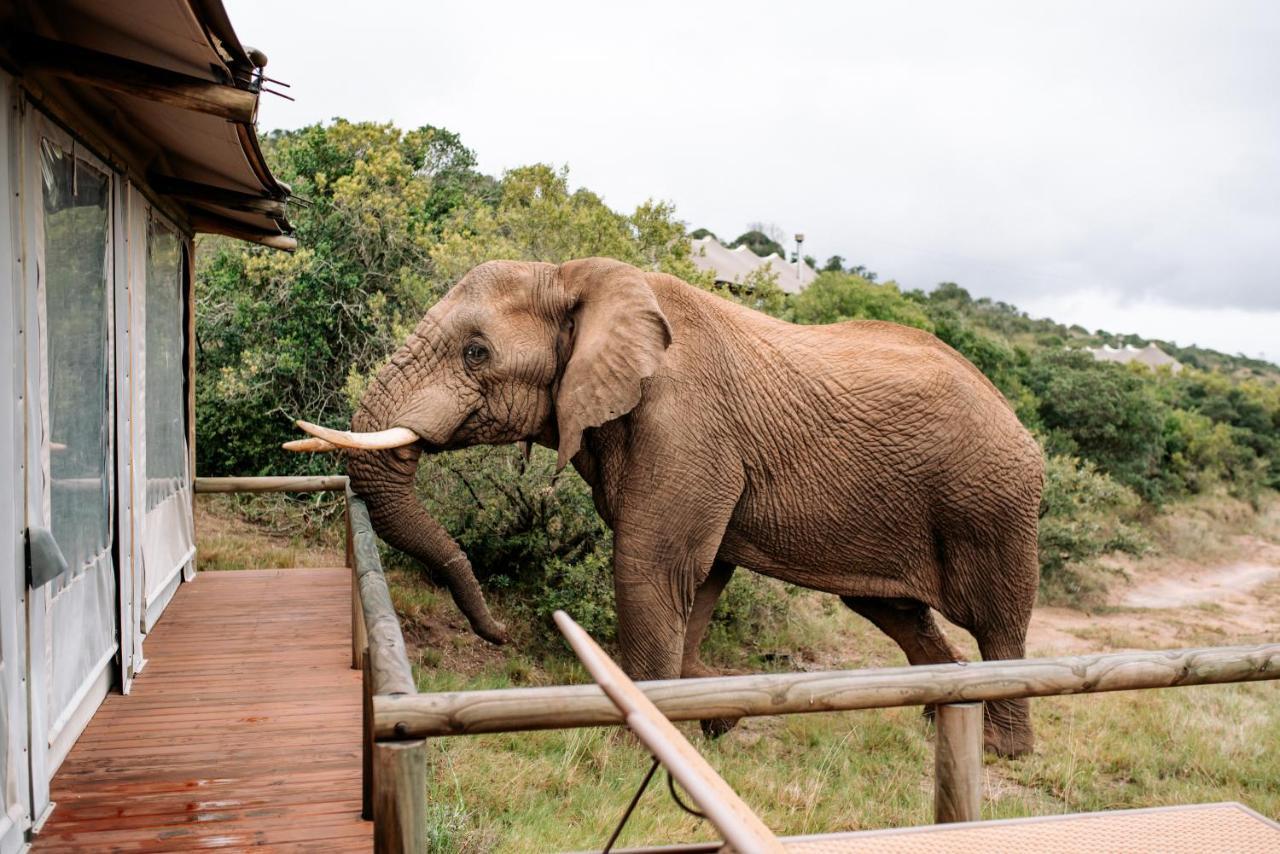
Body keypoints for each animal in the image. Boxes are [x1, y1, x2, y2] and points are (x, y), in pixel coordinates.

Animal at [288, 253, 1039, 752]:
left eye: (476, 352)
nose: (496, 632)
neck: (575, 276)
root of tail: (1017, 416)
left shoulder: (686, 426)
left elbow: (650, 566)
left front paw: (644, 747)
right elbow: (697, 582)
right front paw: (711, 715)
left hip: (991, 502)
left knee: (998, 620)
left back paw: (1001, 750)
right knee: (894, 610)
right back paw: (939, 717)